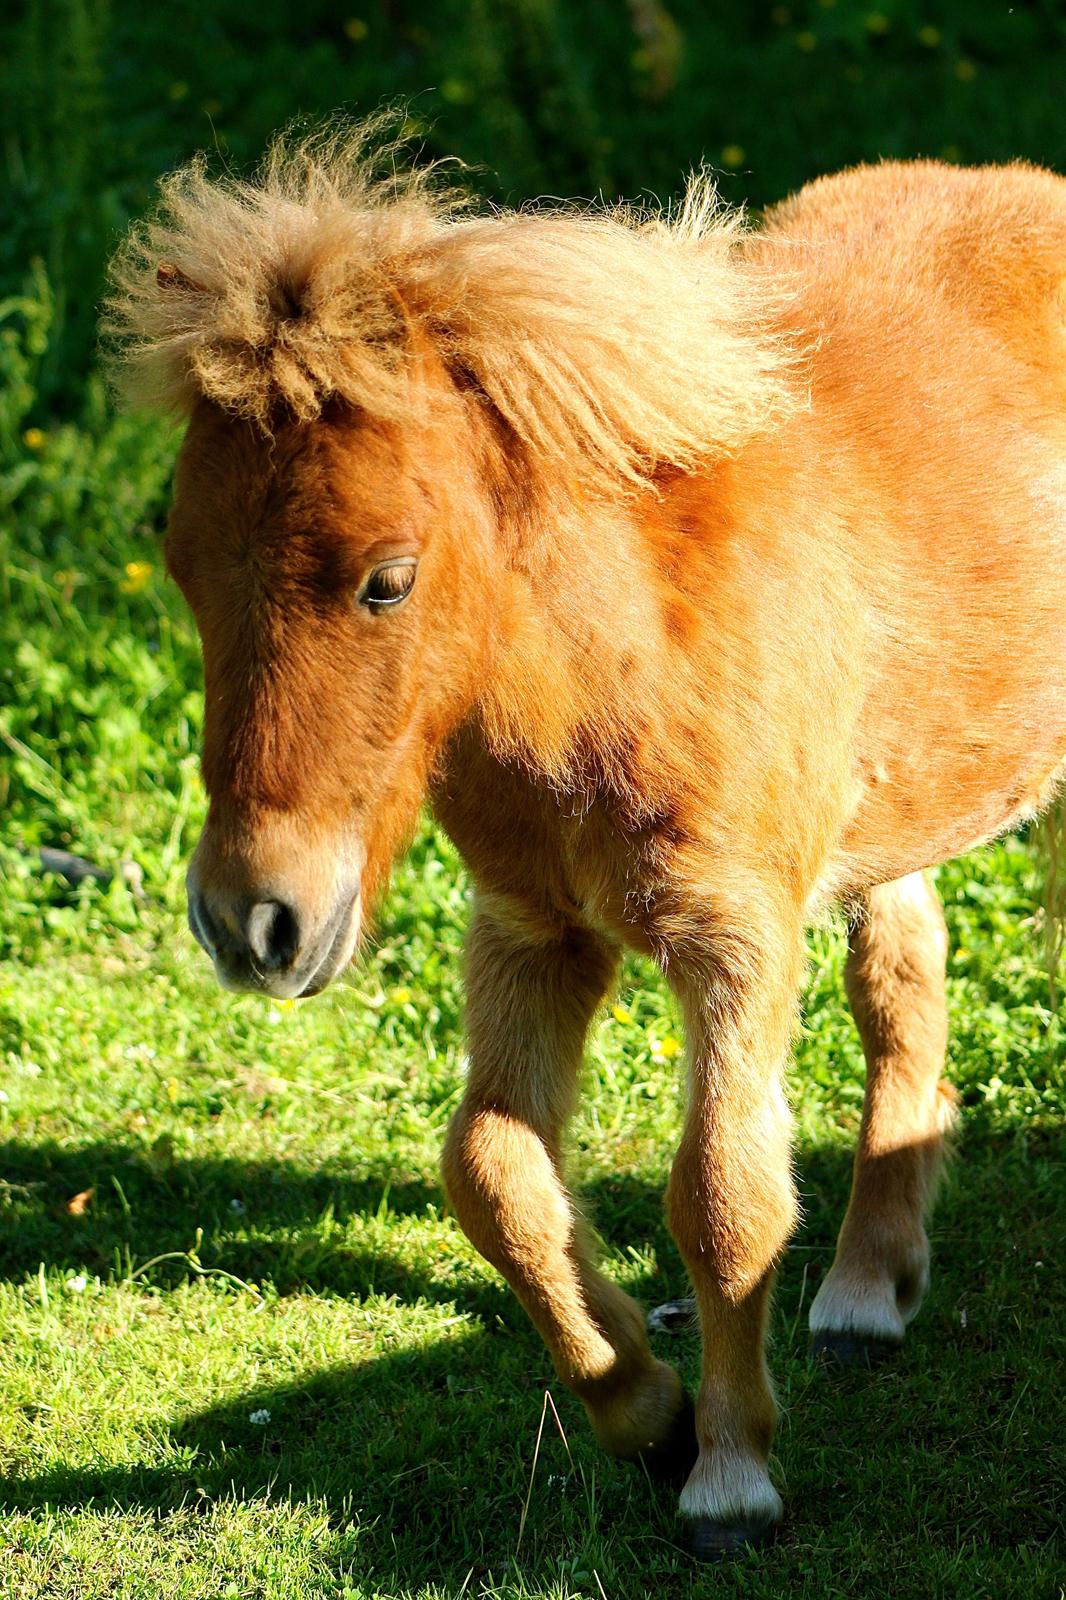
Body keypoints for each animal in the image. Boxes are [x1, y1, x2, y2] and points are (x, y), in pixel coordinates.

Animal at [104, 128, 1062, 1561]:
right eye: (179, 564)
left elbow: (723, 1196)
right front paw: (644, 1408)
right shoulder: (532, 929)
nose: (253, 921)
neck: (609, 655)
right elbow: (491, 1172)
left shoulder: (731, 940)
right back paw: (865, 1284)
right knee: (902, 979)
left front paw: (730, 1474)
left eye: (386, 577)